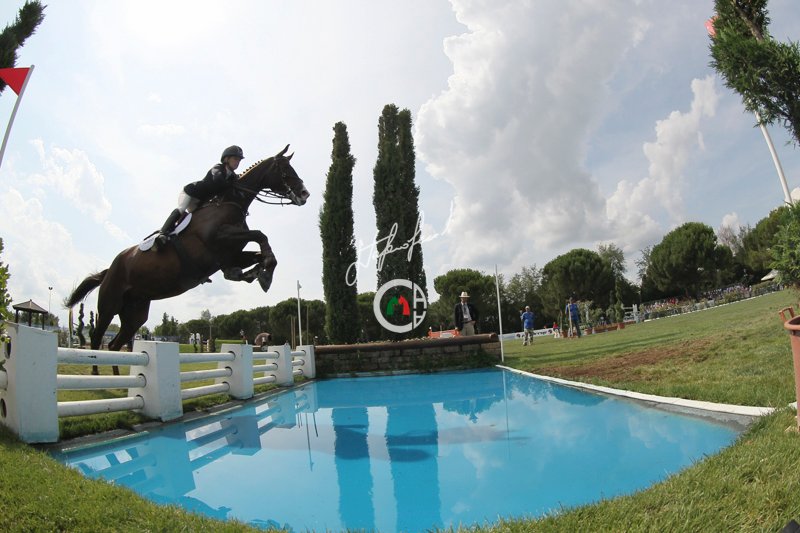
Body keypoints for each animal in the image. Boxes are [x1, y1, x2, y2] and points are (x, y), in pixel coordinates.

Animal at [65, 145, 309, 374]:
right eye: (285, 170)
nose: (305, 194)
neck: (231, 202)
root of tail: (109, 269)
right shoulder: (219, 239)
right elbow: (260, 235)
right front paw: (262, 274)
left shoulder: (229, 255)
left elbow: (260, 254)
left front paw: (258, 273)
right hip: (110, 304)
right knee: (97, 339)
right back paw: (96, 376)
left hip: (135, 313)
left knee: (114, 346)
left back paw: (120, 382)